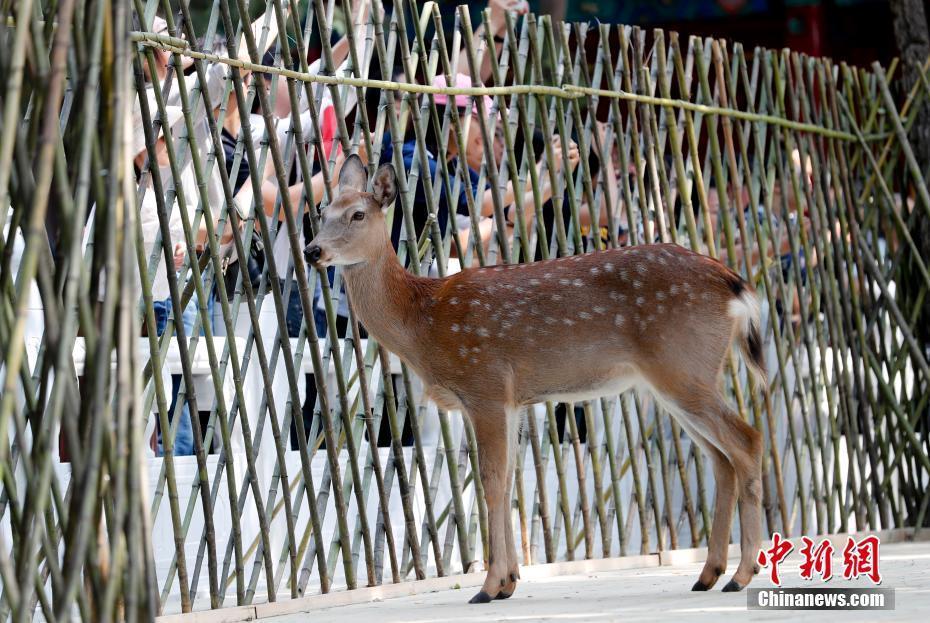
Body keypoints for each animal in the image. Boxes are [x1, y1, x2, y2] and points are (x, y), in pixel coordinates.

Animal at [304, 156, 760, 604]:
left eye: (358, 214)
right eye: (321, 212)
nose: (312, 250)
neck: (422, 321)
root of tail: (734, 284)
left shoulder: (484, 383)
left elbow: (491, 483)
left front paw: (488, 587)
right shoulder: (510, 400)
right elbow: (508, 483)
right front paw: (508, 582)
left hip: (681, 366)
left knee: (747, 441)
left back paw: (740, 575)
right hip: (679, 378)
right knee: (722, 459)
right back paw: (708, 574)